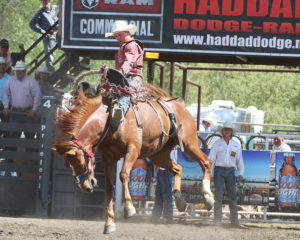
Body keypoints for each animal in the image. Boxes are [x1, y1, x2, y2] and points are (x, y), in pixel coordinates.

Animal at [54, 84, 213, 232]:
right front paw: (109, 223)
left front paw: (129, 208)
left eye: (80, 163)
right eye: (68, 165)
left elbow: (123, 174)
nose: (85, 186)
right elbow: (109, 187)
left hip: (189, 143)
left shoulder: (133, 150)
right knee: (178, 168)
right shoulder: (108, 158)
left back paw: (208, 197)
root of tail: (179, 106)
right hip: (158, 155)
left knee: (206, 162)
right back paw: (180, 199)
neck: (109, 121)